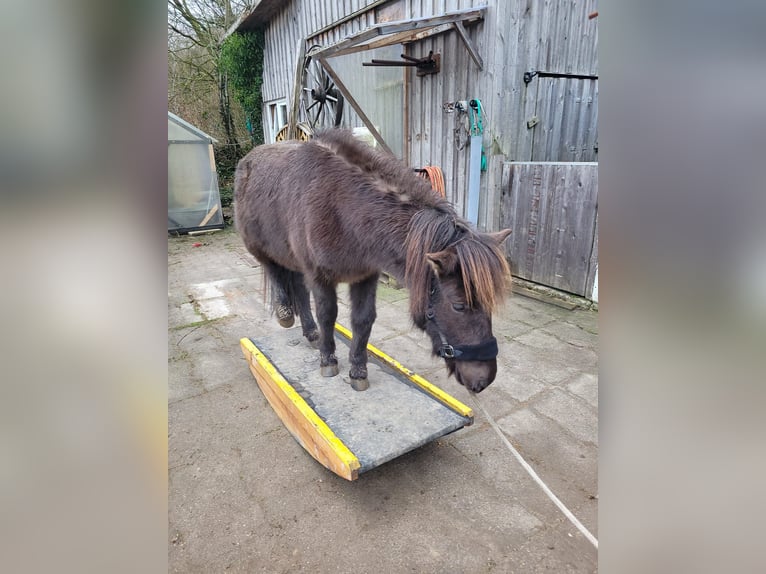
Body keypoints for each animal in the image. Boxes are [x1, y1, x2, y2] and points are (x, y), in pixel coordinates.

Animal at [234, 129, 510, 394]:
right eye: (458, 306)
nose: (484, 380)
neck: (342, 206)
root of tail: (247, 160)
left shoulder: (365, 275)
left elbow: (363, 319)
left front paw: (358, 371)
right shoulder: (319, 275)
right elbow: (328, 315)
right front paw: (328, 361)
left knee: (299, 291)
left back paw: (311, 333)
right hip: (261, 248)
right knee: (274, 272)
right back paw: (285, 314)